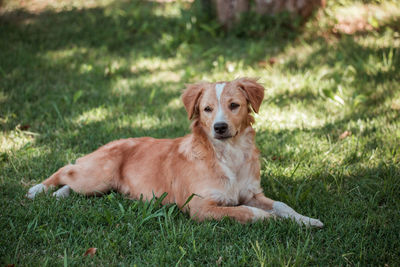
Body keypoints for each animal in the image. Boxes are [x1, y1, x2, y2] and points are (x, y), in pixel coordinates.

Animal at [26, 77, 324, 228]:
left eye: (234, 105)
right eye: (207, 109)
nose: (220, 127)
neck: (228, 155)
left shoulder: (252, 193)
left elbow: (282, 205)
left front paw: (305, 219)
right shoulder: (199, 206)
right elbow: (244, 212)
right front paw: (271, 219)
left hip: (101, 185)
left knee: (72, 181)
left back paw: (60, 195)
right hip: (98, 175)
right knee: (66, 168)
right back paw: (38, 189)